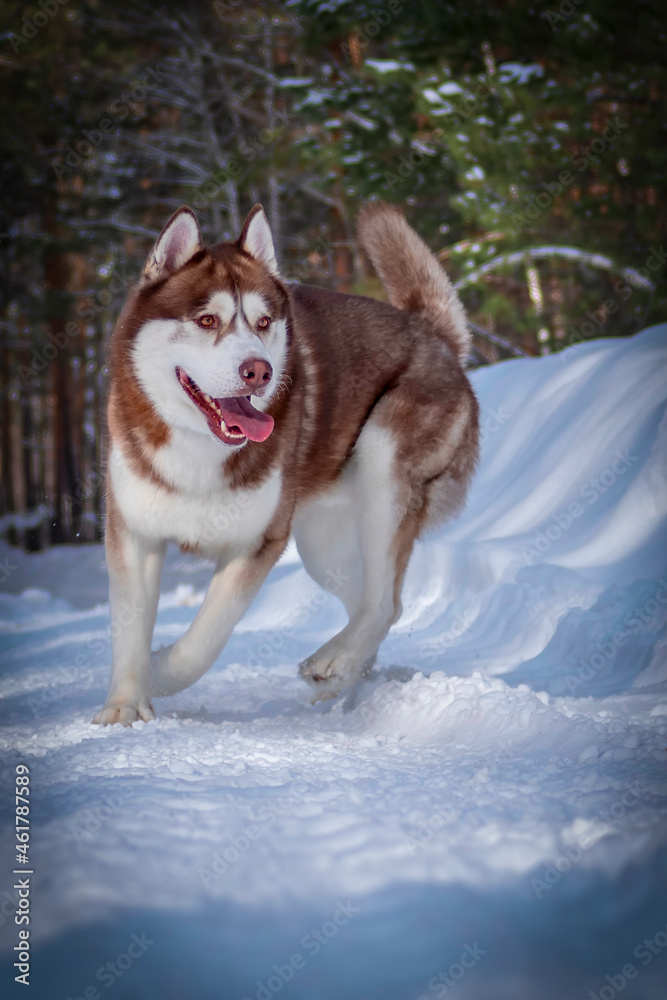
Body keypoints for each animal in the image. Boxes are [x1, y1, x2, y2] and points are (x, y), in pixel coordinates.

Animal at [95, 203, 480, 724]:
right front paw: (123, 707)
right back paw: (344, 678)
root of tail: (436, 336)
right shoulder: (134, 530)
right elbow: (129, 628)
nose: (260, 370)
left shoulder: (258, 541)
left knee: (384, 601)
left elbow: (204, 640)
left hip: (383, 467)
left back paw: (334, 660)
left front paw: (160, 669)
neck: (198, 448)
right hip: (323, 544)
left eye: (263, 323)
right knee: (380, 600)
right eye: (206, 320)